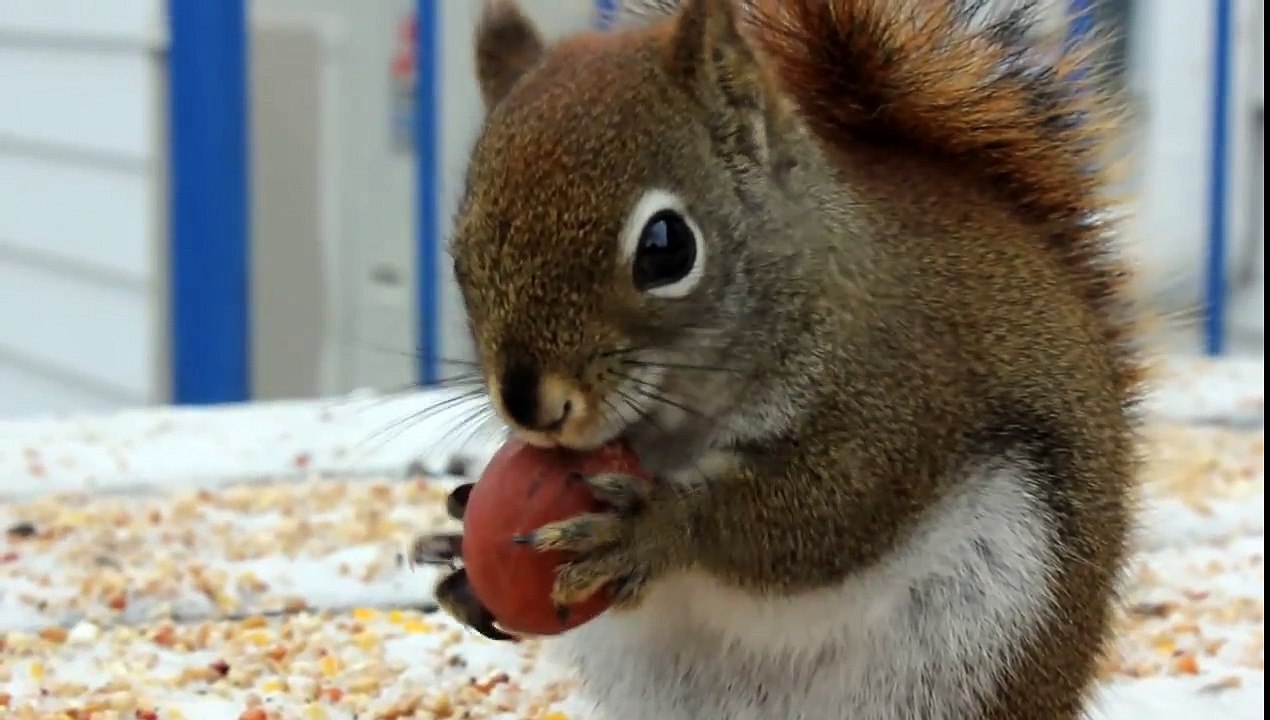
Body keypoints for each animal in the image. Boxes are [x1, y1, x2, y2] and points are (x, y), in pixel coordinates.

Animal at [420, 0, 1142, 718]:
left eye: (666, 248)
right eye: (458, 254)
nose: (529, 403)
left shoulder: (898, 392)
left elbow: (824, 512)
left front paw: (651, 527)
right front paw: (458, 555)